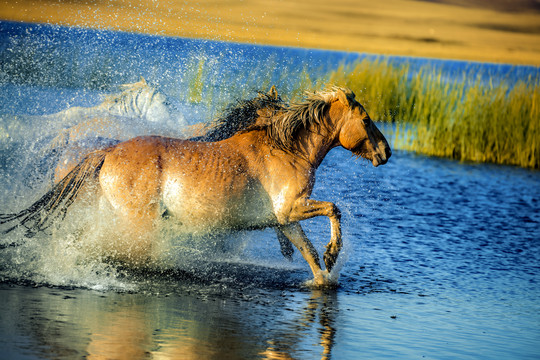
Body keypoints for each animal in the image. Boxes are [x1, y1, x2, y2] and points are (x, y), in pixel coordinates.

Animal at [0, 87, 390, 286]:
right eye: (366, 119)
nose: (386, 153)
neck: (286, 149)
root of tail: (106, 151)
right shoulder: (292, 207)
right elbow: (334, 209)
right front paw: (333, 254)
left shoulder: (285, 218)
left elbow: (306, 251)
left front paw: (323, 277)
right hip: (136, 221)